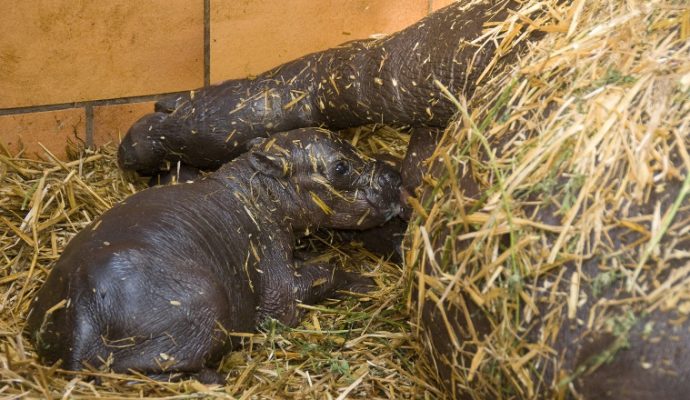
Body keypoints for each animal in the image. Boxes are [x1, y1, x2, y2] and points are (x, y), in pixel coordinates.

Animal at [26, 127, 400, 382]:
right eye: (340, 168)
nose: (393, 176)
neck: (259, 194)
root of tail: (84, 316)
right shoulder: (278, 288)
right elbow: (324, 274)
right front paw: (366, 283)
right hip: (206, 304)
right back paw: (215, 378)